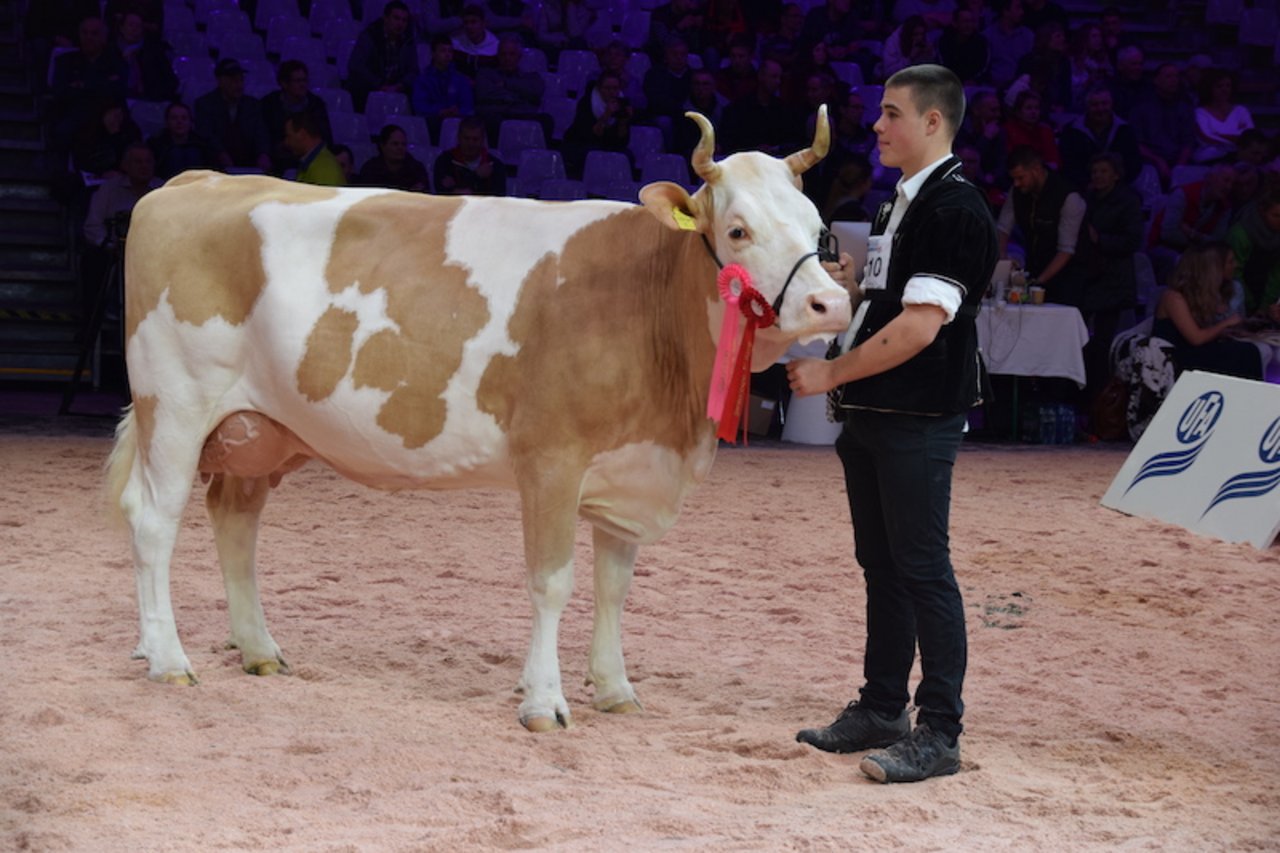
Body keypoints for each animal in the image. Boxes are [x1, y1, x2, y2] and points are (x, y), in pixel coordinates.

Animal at [107, 108, 849, 732]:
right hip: (175, 403)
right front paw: (544, 701)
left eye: (818, 228)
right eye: (737, 230)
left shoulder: (630, 466)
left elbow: (613, 586)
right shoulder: (551, 458)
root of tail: (195, 179)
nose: (830, 304)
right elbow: (552, 581)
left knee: (235, 520)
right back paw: (168, 658)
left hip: (259, 428)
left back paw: (256, 648)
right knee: (154, 520)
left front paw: (614, 689)